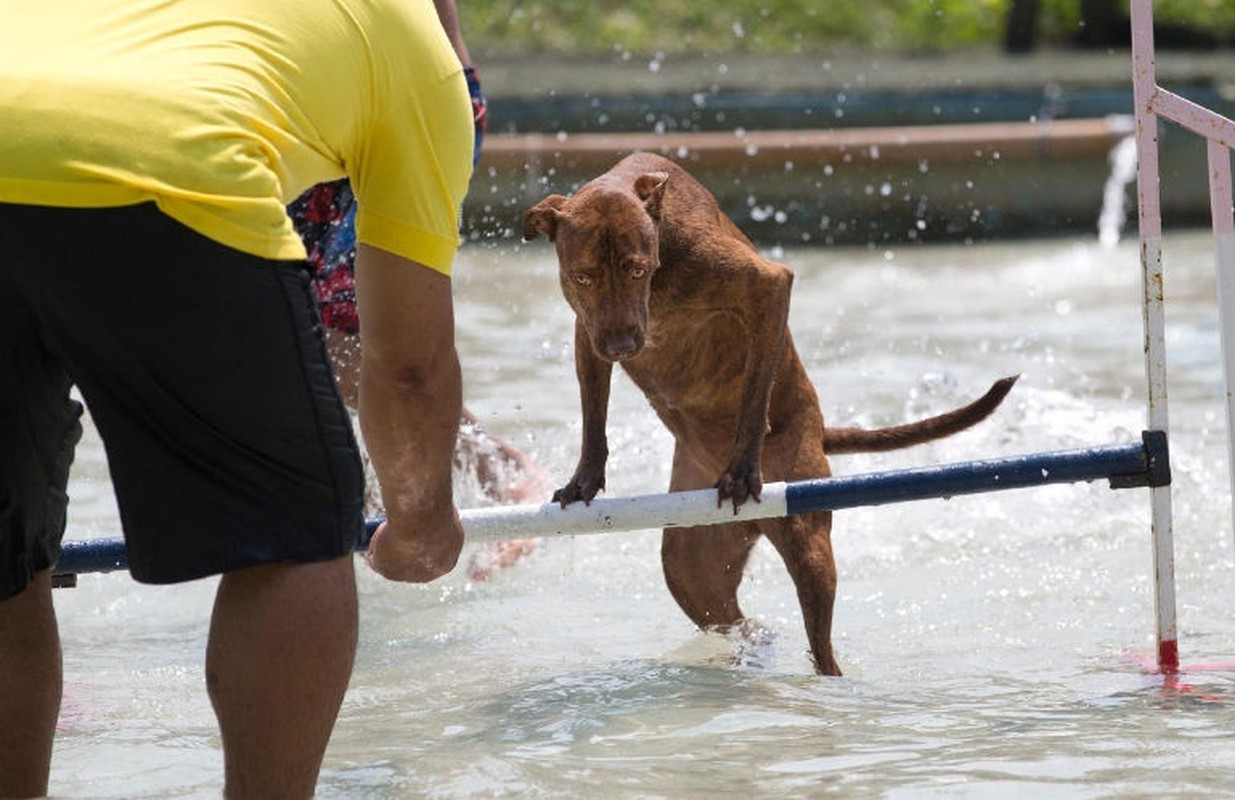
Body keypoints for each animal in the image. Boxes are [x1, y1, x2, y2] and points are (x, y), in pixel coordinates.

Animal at [521, 151, 1012, 676]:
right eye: (583, 276)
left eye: (636, 271)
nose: (622, 346)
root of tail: (821, 431)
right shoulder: (587, 333)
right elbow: (593, 412)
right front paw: (585, 479)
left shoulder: (765, 288)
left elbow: (756, 393)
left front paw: (742, 468)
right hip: (691, 569)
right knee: (739, 621)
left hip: (806, 538)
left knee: (821, 643)